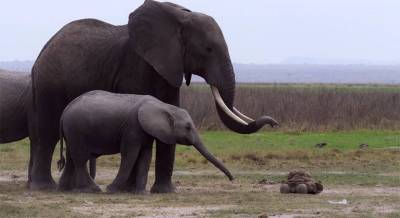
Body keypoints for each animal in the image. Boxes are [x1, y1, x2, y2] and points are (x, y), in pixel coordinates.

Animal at [58, 90, 234, 192]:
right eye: (188, 127)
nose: (232, 180)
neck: (164, 106)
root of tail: (65, 111)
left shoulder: (145, 129)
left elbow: (146, 155)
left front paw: (140, 192)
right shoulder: (133, 127)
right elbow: (130, 155)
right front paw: (111, 189)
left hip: (72, 131)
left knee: (72, 157)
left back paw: (65, 189)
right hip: (77, 129)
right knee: (80, 158)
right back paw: (93, 189)